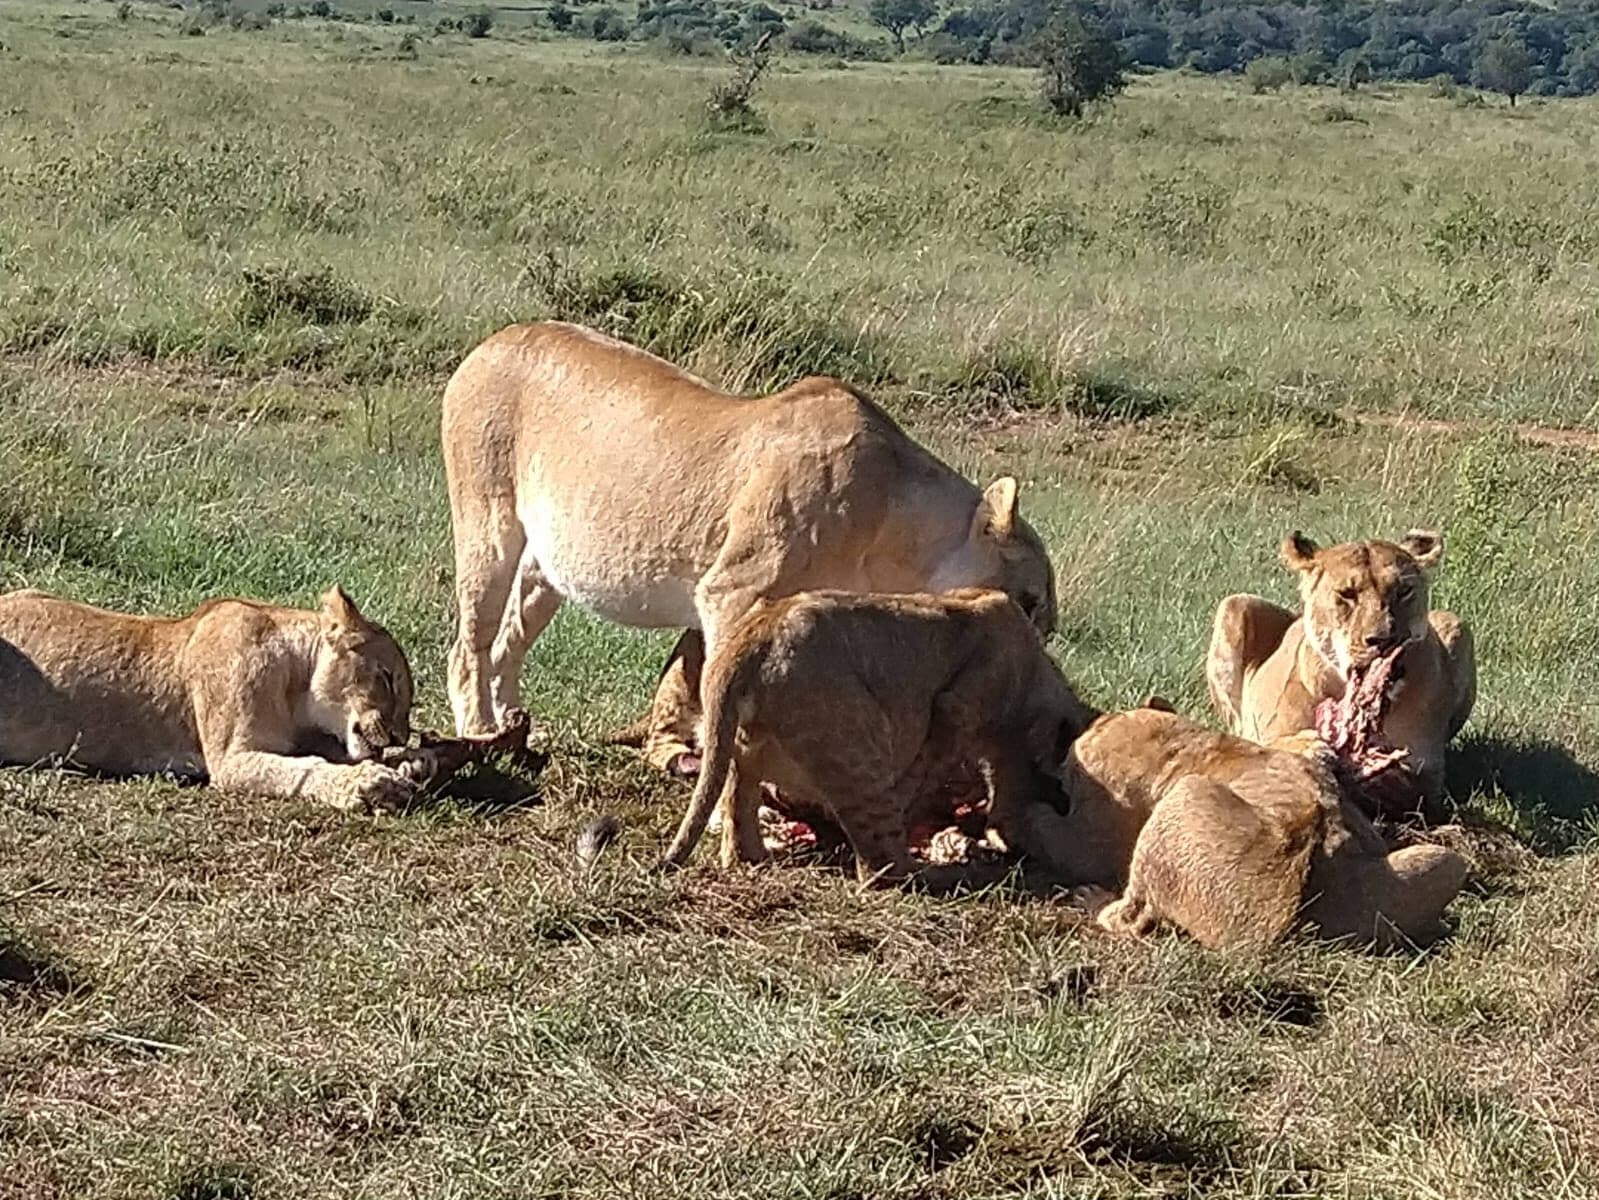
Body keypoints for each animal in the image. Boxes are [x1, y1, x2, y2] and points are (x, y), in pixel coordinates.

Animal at [0, 586, 418, 811]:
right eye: (388, 678)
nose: (400, 736)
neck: (298, 693)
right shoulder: (231, 760)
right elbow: (307, 768)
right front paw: (370, 783)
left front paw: (411, 766)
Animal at [440, 322, 1057, 774]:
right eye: (1029, 599)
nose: (1040, 640)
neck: (894, 522)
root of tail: (497, 337)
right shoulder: (730, 592)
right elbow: (722, 709)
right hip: (488, 527)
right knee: (469, 648)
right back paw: (481, 733)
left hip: (545, 569)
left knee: (507, 644)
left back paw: (514, 731)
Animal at [658, 588, 1096, 885]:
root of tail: (753, 637)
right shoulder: (954, 710)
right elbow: (925, 778)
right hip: (859, 744)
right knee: (879, 866)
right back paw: (950, 874)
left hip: (740, 745)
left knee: (737, 809)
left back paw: (753, 857)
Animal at [1023, 705, 1469, 950]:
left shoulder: (1091, 830)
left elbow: (1053, 834)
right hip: (1444, 862)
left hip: (1184, 797)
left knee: (1132, 918)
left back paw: (1094, 900)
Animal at [1206, 530, 1475, 806]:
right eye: (1347, 594)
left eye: (1403, 591)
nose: (1383, 639)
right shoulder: (1255, 739)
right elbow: (1261, 748)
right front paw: (1310, 748)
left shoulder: (1429, 772)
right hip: (1235, 604)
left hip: (1455, 623)